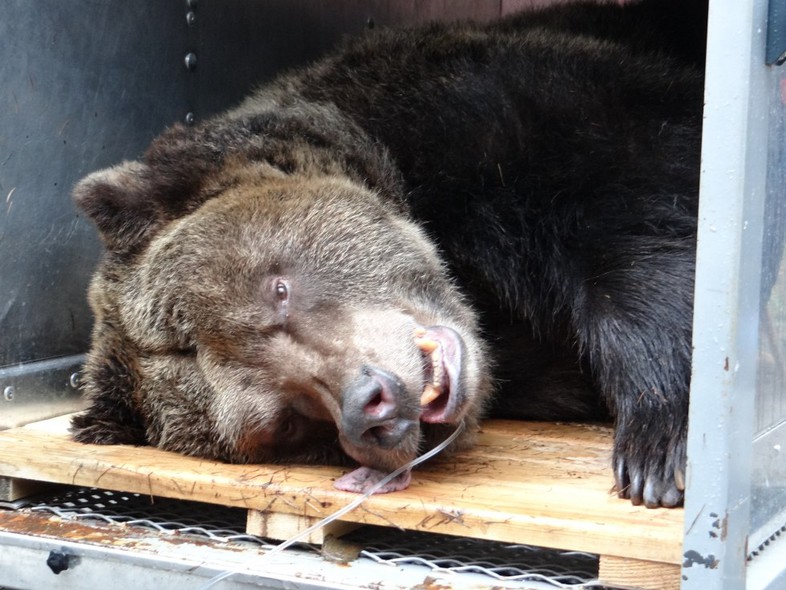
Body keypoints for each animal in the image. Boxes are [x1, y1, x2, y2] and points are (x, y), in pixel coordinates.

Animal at [69, 0, 704, 508]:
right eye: (285, 423)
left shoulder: (505, 116)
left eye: (278, 288)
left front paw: (656, 447)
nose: (372, 406)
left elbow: (640, 213)